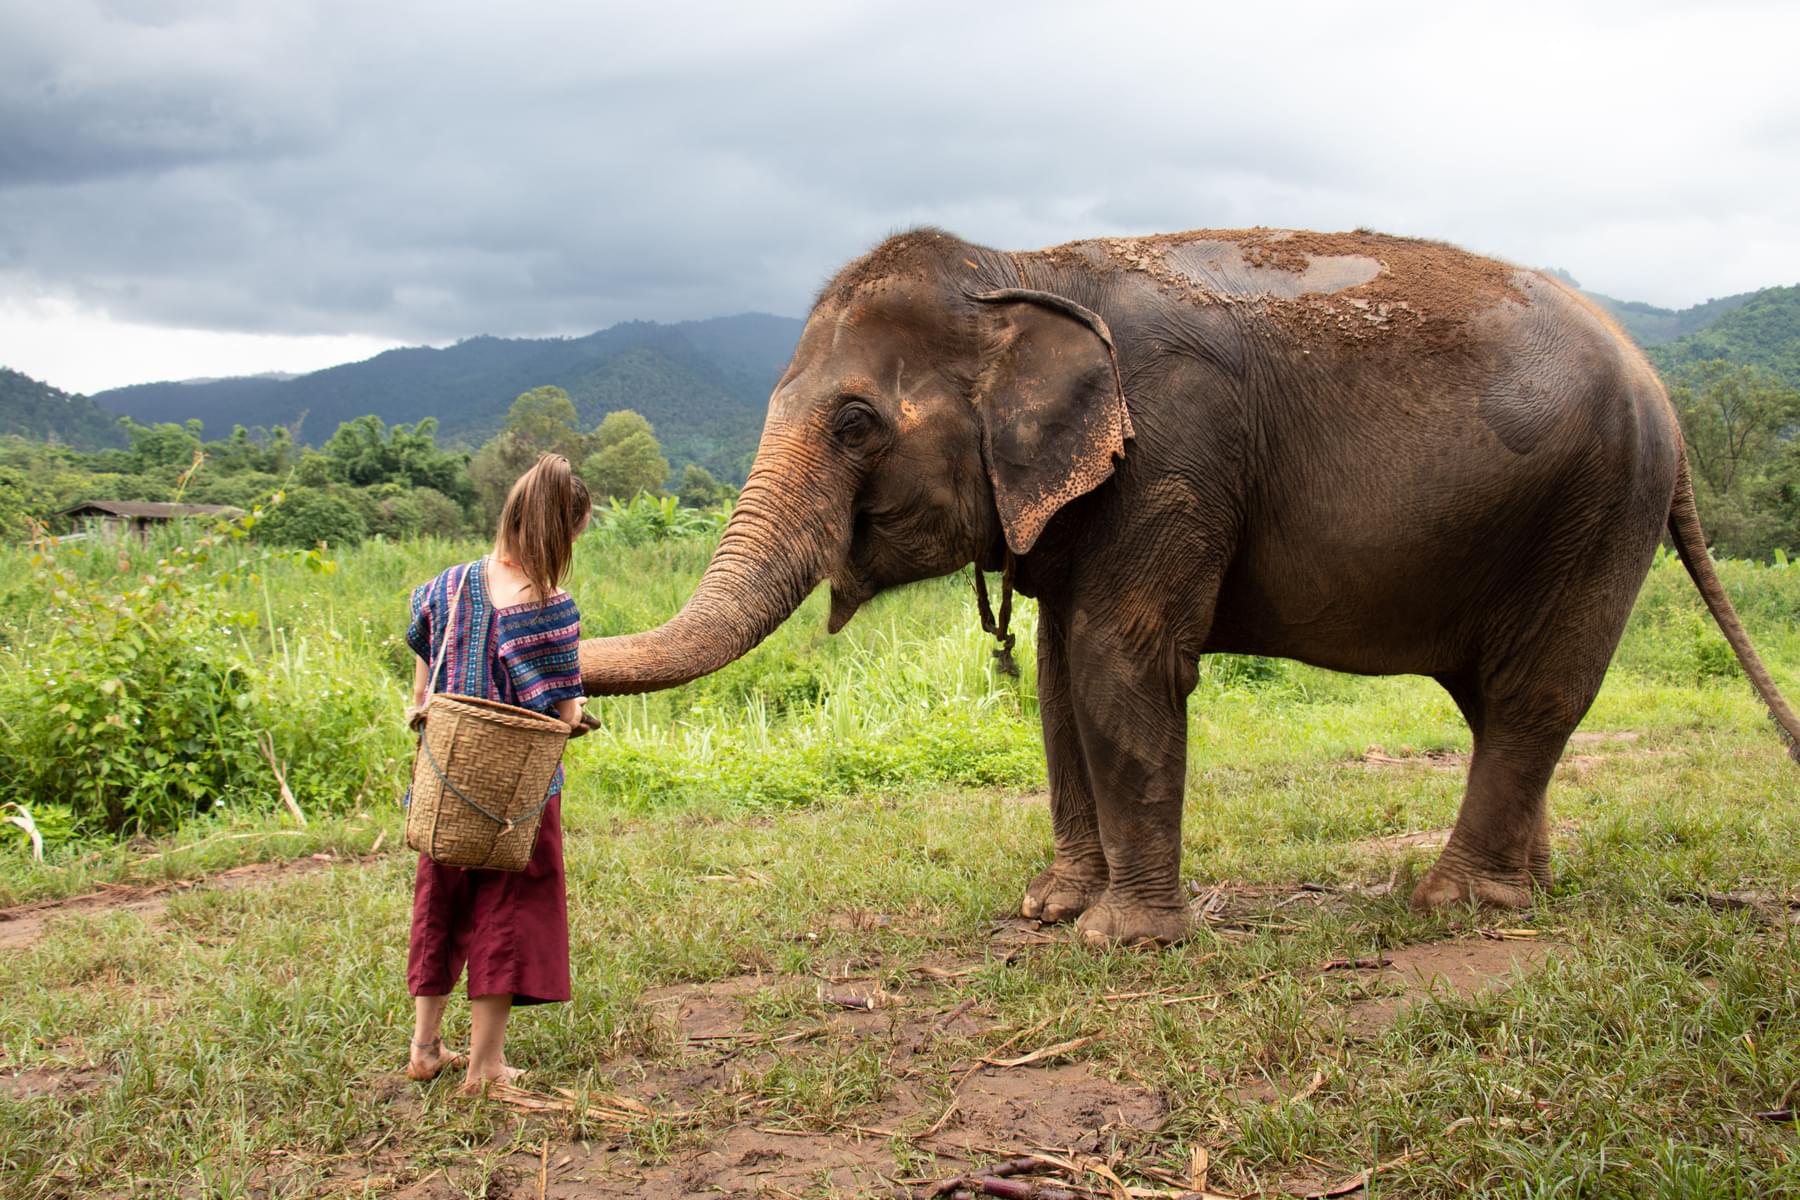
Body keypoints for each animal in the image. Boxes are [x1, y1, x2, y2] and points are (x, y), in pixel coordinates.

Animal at [579, 223, 1800, 935]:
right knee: (1499, 702)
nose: (569, 716)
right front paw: (1051, 909)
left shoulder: (1177, 445)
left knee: (1538, 693)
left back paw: (1456, 904)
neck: (1025, 271)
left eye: (854, 423)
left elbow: (1120, 665)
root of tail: (1664, 397)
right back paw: (1526, 885)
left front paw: (1122, 941)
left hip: (1597, 511)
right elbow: (1059, 682)